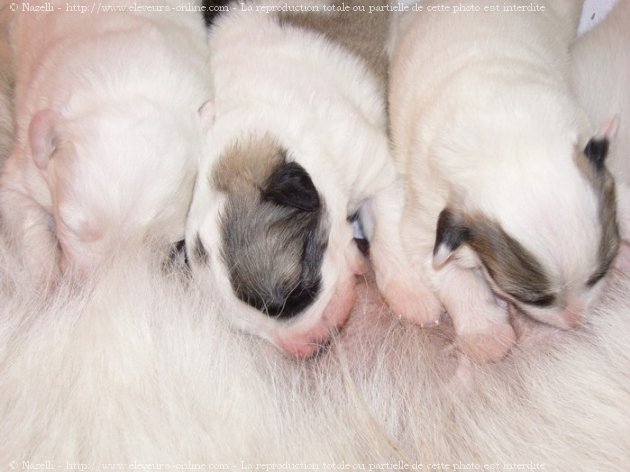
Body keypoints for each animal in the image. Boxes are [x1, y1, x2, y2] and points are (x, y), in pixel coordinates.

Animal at [0, 0, 214, 278]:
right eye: (71, 226)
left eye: (170, 243)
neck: (126, 86)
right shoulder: (25, 172)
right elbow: (30, 231)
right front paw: (46, 282)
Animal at [186, 0, 400, 358]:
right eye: (247, 330)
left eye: (297, 294)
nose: (309, 349)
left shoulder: (371, 164)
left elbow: (390, 228)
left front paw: (412, 296)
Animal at [376, 0, 624, 362]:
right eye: (535, 298)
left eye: (600, 274)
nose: (576, 322)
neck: (511, 143)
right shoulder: (426, 221)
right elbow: (454, 278)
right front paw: (485, 333)